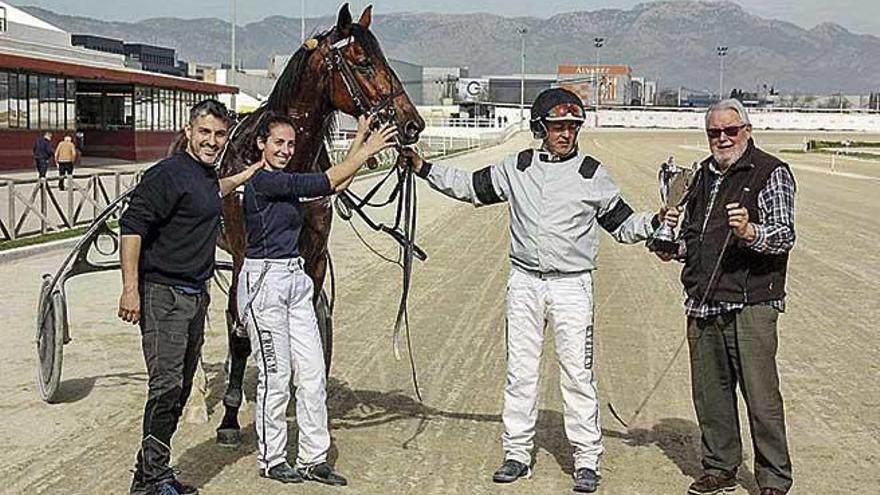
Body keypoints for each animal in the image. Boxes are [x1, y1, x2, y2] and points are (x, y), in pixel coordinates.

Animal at [210, 3, 422, 446]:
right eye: (362, 61)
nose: (413, 124)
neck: (286, 165)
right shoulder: (243, 256)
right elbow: (241, 334)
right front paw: (230, 418)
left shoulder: (315, 254)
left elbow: (309, 320)